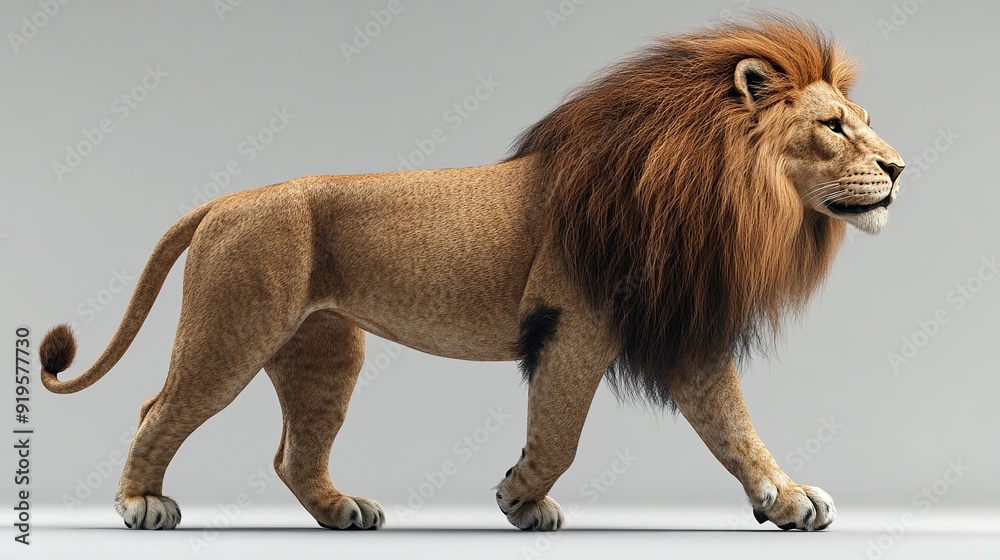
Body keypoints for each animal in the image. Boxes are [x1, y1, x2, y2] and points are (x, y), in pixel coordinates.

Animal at [39, 18, 903, 532]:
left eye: (862, 122)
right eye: (833, 126)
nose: (900, 167)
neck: (729, 194)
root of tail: (225, 199)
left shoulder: (683, 329)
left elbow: (735, 428)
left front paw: (786, 499)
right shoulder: (577, 326)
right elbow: (559, 434)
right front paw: (520, 498)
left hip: (322, 349)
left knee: (293, 452)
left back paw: (341, 511)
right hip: (234, 328)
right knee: (158, 409)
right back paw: (141, 503)